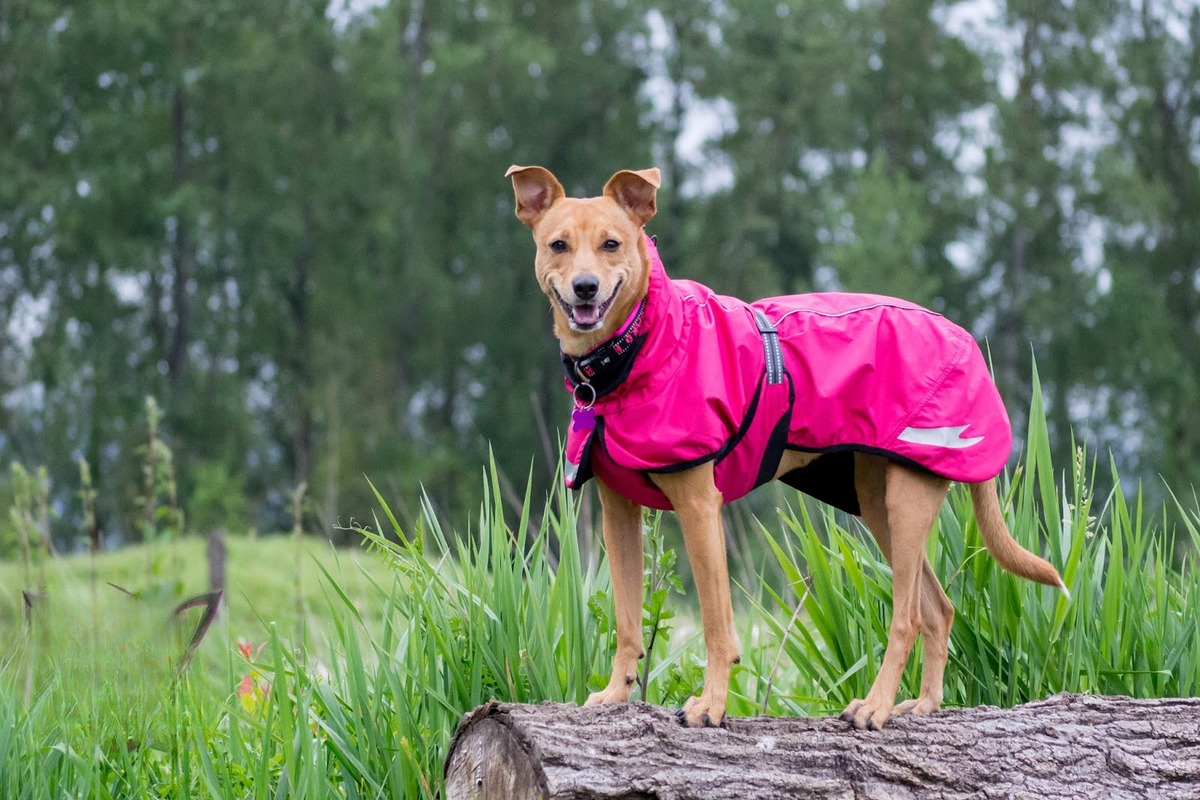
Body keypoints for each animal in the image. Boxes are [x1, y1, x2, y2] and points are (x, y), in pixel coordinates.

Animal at [501, 163, 1065, 734]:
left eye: (611, 243)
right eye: (558, 245)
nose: (585, 287)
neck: (636, 350)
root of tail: (965, 340)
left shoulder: (699, 506)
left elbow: (716, 625)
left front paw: (712, 704)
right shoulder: (618, 512)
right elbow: (627, 620)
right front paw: (617, 693)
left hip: (907, 501)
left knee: (907, 617)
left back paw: (877, 706)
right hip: (877, 503)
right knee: (939, 608)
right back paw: (924, 704)